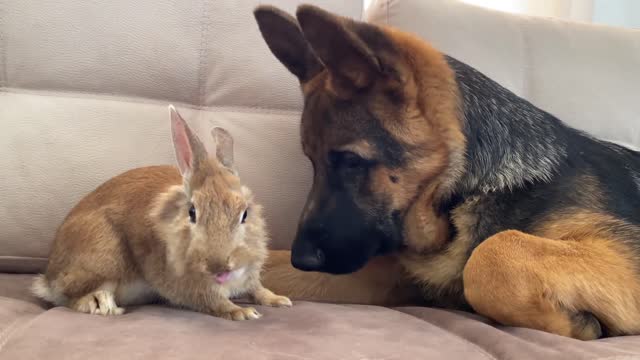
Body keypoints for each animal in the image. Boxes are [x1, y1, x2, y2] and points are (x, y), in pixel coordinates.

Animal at [33, 105, 294, 320]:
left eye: (245, 214)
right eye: (192, 212)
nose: (219, 267)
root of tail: (48, 278)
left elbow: (257, 288)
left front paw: (279, 300)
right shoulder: (184, 282)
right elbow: (211, 299)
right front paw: (241, 312)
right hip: (103, 254)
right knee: (70, 298)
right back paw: (100, 303)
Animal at [254, 4, 640, 338]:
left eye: (351, 161)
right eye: (312, 160)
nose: (301, 258)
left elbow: (491, 254)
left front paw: (577, 323)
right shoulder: (389, 273)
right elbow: (267, 264)